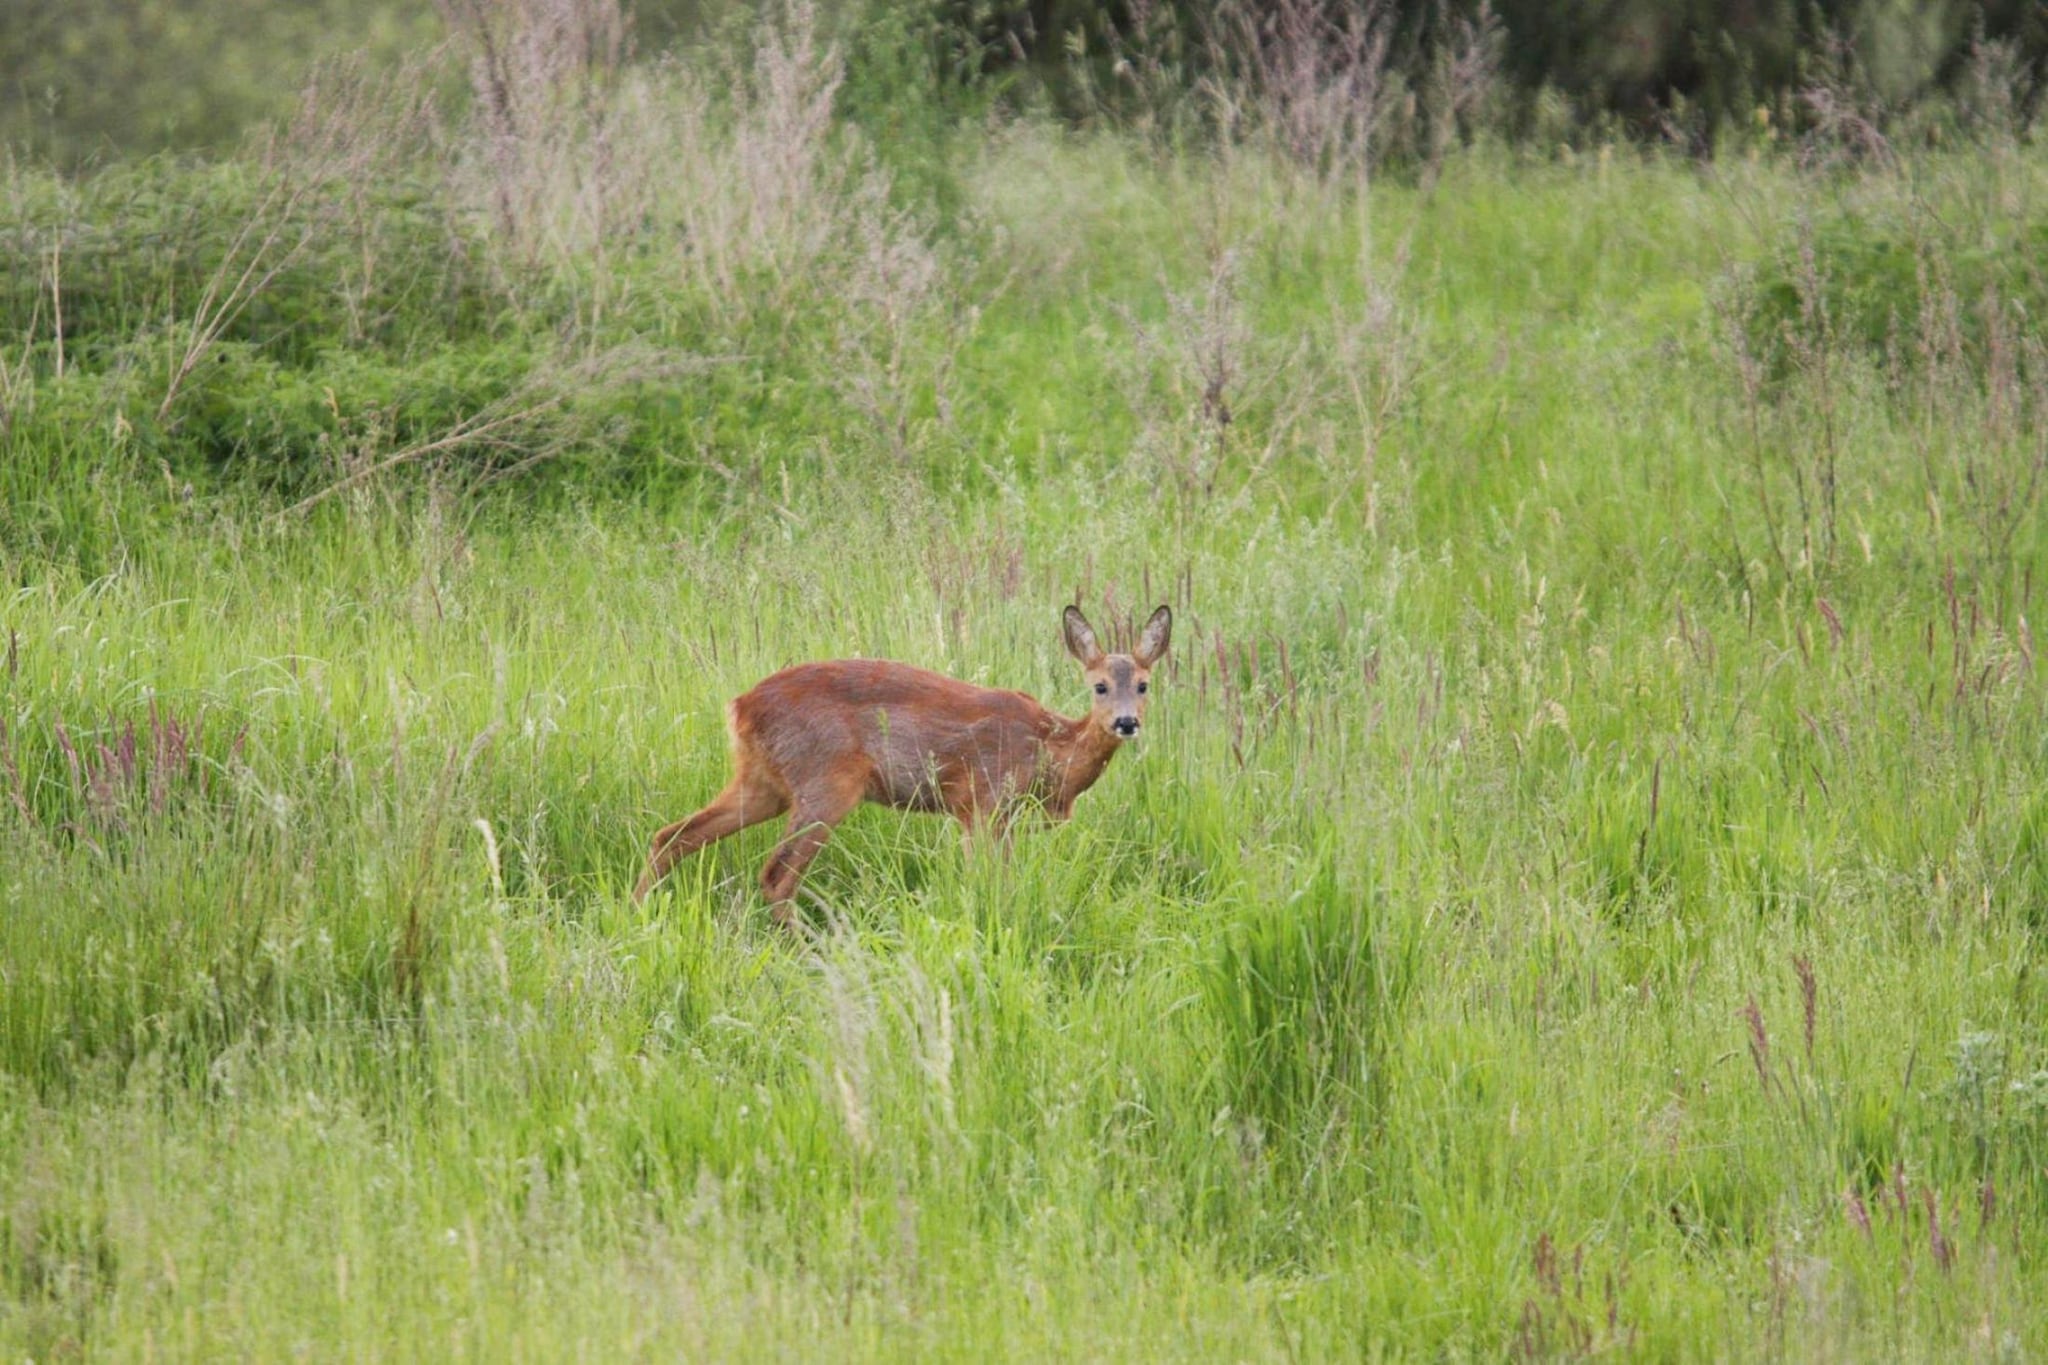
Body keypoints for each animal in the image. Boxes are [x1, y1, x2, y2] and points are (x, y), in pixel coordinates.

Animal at [626, 601, 1171, 925]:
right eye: (1099, 685)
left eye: (1144, 685)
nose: (1126, 722)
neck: (1049, 752)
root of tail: (740, 706)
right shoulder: (982, 801)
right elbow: (986, 882)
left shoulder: (999, 817)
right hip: (826, 782)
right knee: (776, 874)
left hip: (763, 783)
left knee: (672, 835)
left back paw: (637, 913)